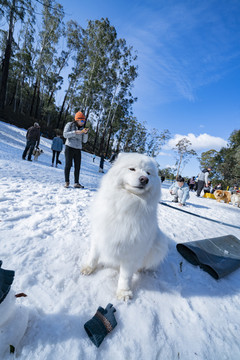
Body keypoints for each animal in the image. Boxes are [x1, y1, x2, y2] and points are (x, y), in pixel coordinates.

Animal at [82, 152, 169, 300]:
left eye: (148, 173)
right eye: (132, 169)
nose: (144, 179)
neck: (127, 203)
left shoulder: (132, 250)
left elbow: (125, 276)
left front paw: (124, 292)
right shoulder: (99, 236)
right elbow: (93, 256)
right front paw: (88, 268)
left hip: (160, 244)